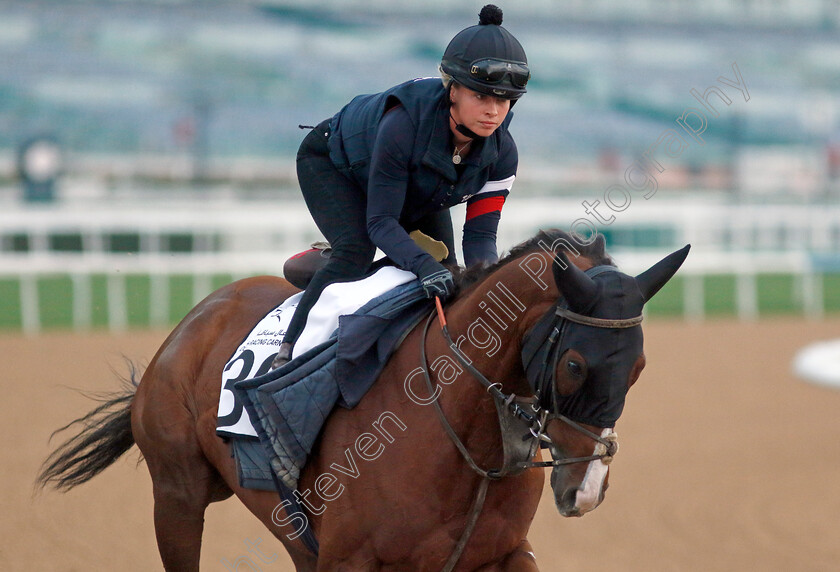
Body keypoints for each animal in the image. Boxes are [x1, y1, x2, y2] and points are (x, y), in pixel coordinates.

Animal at [36, 230, 688, 568]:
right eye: (575, 364)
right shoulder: (351, 561)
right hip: (177, 495)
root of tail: (193, 320)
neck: (463, 438)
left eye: (638, 367)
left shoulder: (501, 555)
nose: (588, 489)